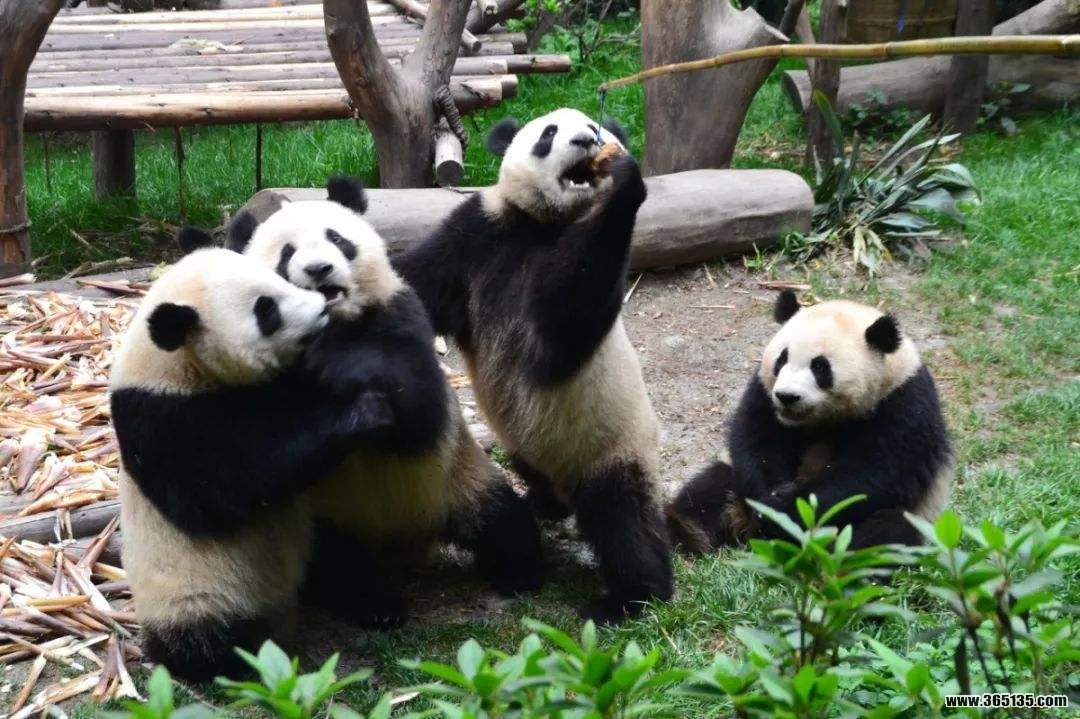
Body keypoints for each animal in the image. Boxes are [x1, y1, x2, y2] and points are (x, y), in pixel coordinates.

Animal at [111, 248, 390, 681]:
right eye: (266, 310)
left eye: (279, 278)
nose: (321, 306)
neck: (177, 366)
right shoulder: (157, 419)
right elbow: (221, 493)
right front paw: (363, 412)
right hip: (194, 590)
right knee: (206, 635)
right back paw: (237, 657)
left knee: (338, 551)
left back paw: (371, 599)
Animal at [215, 176, 544, 625]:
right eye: (286, 254)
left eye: (337, 239)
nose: (319, 270)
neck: (332, 322)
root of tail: (411, 541)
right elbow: (267, 451)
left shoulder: (400, 314)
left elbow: (417, 410)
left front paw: (344, 368)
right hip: (325, 520)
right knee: (338, 564)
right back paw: (377, 605)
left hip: (459, 480)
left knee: (502, 522)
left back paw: (521, 573)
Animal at [391, 108, 673, 622]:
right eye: (549, 134)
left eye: (597, 127)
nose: (587, 138)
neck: (544, 223)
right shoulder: (479, 232)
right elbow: (416, 280)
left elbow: (563, 326)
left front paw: (623, 182)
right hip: (528, 442)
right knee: (531, 462)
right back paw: (545, 503)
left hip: (614, 449)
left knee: (625, 522)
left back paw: (629, 598)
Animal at [666, 290, 952, 552]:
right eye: (781, 359)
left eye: (820, 367)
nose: (787, 397)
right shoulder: (764, 392)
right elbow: (758, 442)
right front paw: (770, 505)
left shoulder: (904, 401)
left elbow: (873, 473)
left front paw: (784, 510)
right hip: (731, 486)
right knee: (711, 491)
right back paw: (687, 533)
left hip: (917, 517)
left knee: (888, 532)